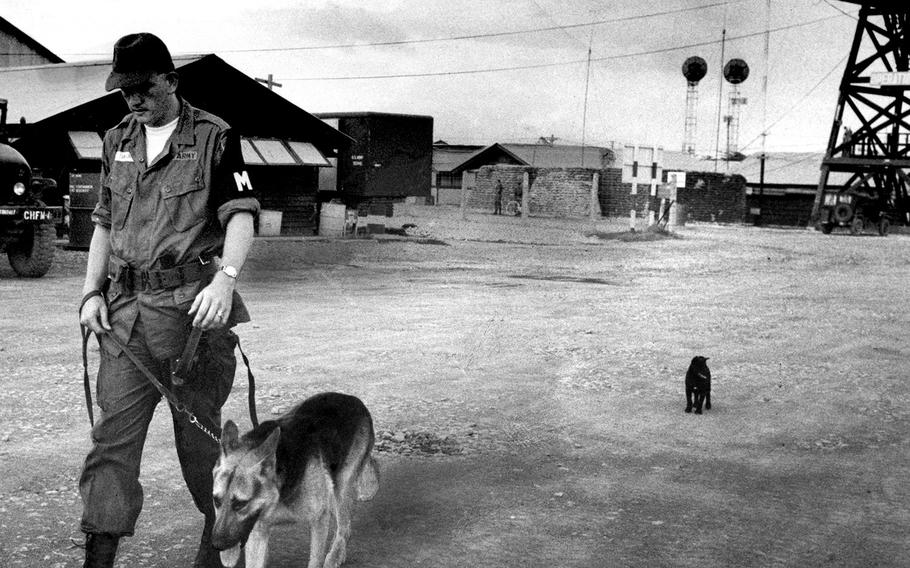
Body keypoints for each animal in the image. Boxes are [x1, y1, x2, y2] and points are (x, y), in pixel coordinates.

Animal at [212, 392, 380, 568]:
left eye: (240, 504)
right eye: (216, 500)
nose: (216, 545)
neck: (278, 490)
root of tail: (354, 399)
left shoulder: (319, 520)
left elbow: (315, 560)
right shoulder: (258, 531)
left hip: (342, 487)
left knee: (344, 527)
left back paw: (335, 554)